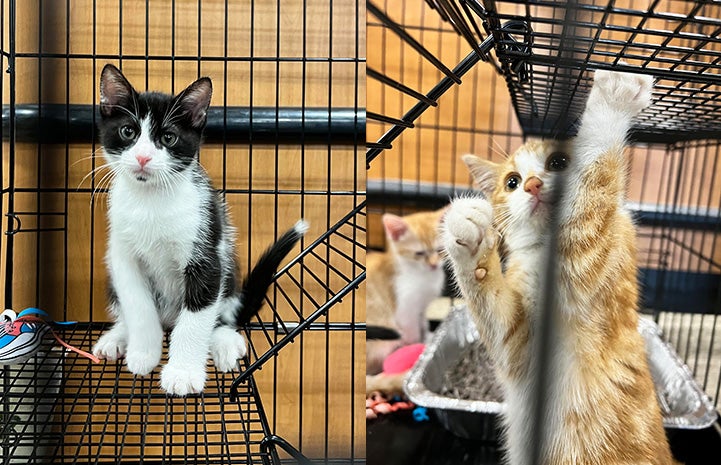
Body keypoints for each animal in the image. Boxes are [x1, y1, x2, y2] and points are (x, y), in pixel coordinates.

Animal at [90, 64, 306, 396]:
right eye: (128, 131)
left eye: (168, 137)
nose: (142, 157)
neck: (151, 201)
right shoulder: (122, 255)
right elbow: (138, 306)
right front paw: (143, 353)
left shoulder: (207, 254)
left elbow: (195, 320)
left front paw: (182, 373)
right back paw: (116, 337)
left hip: (227, 260)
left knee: (222, 316)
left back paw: (225, 343)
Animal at [366, 210, 444, 380]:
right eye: (419, 253)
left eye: (440, 249)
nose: (434, 264)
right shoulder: (406, 309)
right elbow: (412, 332)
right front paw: (418, 345)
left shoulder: (421, 308)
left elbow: (423, 324)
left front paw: (428, 336)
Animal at [442, 70, 672, 464]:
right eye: (512, 182)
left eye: (560, 163)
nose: (533, 185)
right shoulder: (519, 348)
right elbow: (501, 323)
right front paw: (469, 235)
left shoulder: (595, 256)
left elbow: (591, 192)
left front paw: (612, 100)